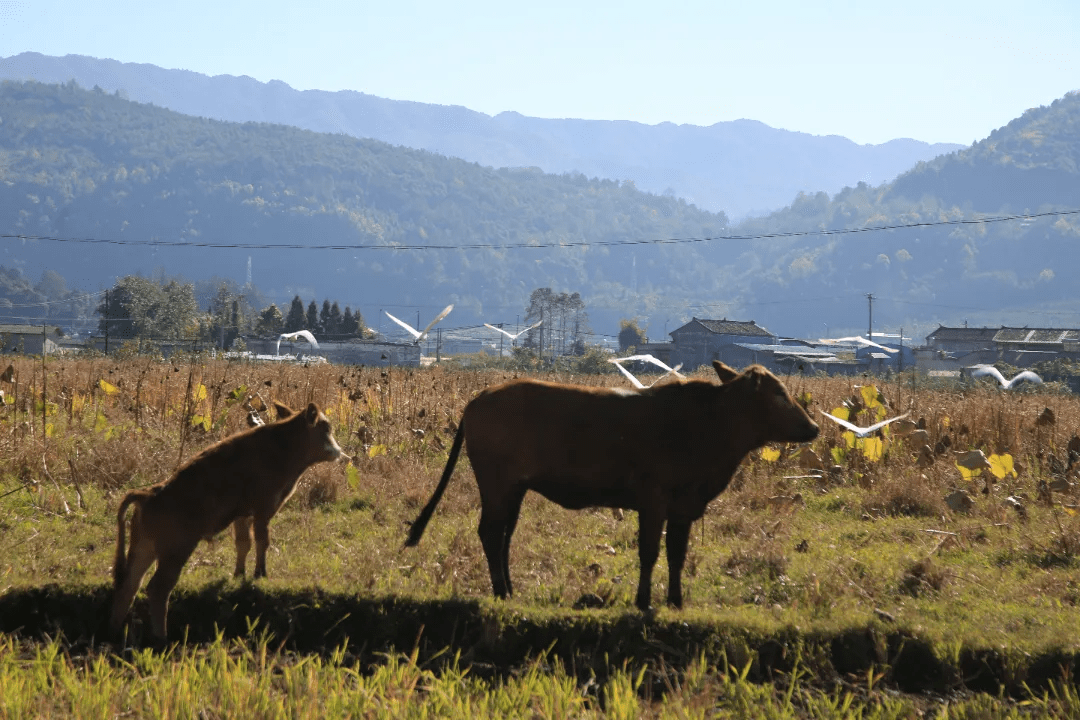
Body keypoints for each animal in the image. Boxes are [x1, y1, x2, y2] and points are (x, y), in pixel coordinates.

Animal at [109, 399, 345, 643]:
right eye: (326, 428)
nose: (340, 453)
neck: (285, 450)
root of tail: (148, 494)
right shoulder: (264, 507)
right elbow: (262, 540)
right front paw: (261, 575)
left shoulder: (242, 514)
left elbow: (243, 543)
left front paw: (239, 575)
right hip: (175, 548)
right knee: (157, 587)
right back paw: (162, 639)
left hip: (143, 546)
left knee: (129, 584)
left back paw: (115, 633)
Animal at [406, 362, 816, 613]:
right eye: (778, 393)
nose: (813, 427)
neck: (708, 424)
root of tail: (479, 398)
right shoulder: (654, 500)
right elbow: (650, 552)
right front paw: (643, 600)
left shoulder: (683, 506)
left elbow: (676, 555)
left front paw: (675, 600)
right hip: (496, 485)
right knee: (491, 533)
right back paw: (500, 591)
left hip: (514, 490)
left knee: (505, 534)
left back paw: (508, 589)